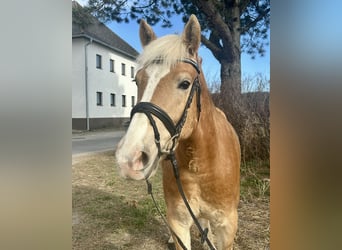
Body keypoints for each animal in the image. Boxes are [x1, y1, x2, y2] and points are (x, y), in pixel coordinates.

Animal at [115, 15, 240, 250]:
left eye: (185, 83)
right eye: (137, 80)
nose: (129, 158)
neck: (202, 163)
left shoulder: (227, 227)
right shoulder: (178, 221)